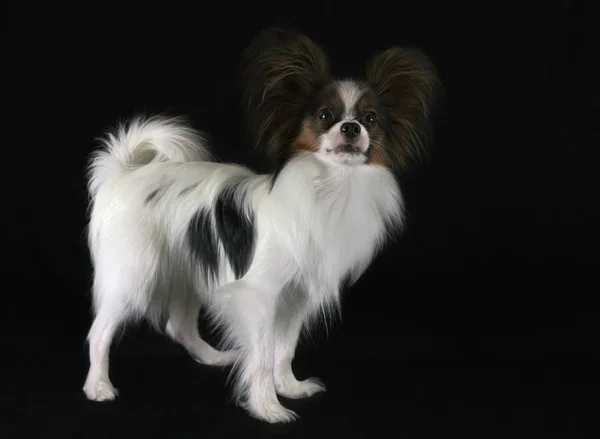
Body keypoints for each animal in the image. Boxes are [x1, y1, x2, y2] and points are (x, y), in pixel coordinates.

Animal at [82, 26, 438, 422]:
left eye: (371, 120)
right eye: (325, 115)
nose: (351, 127)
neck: (332, 186)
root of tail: (123, 174)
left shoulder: (296, 297)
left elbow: (284, 349)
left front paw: (290, 388)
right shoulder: (258, 296)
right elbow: (264, 356)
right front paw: (268, 407)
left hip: (188, 266)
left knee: (179, 325)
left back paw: (213, 357)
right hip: (133, 273)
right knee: (99, 332)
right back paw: (98, 386)